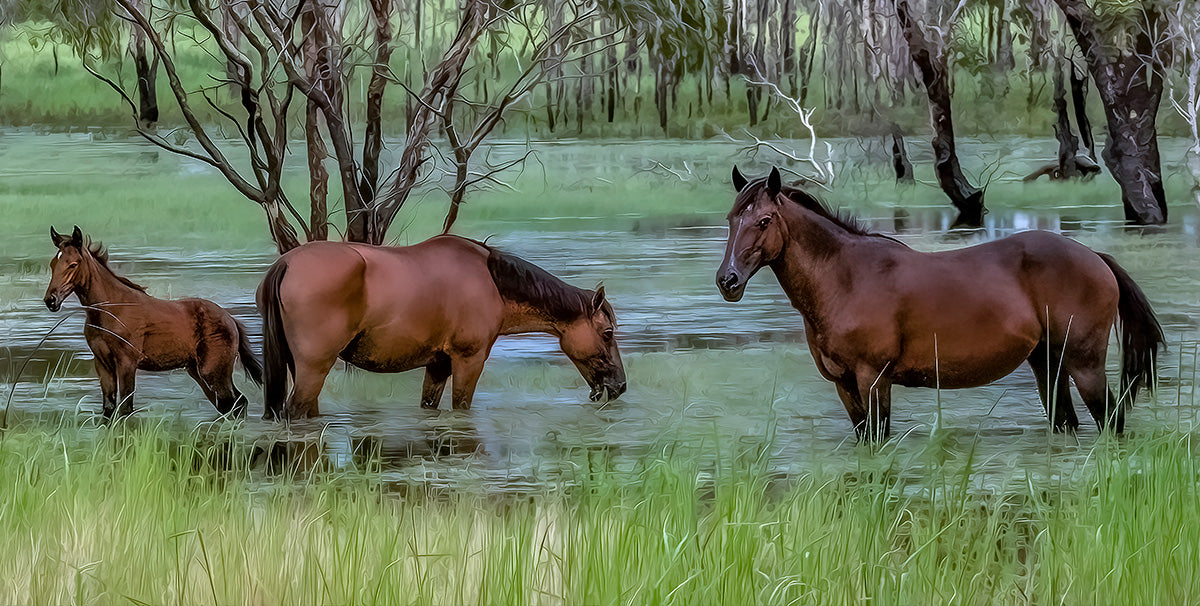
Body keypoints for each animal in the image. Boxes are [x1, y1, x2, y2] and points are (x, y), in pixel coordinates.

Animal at [43, 225, 262, 415]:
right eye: (53, 264)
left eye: (73, 264)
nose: (50, 300)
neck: (111, 310)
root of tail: (231, 319)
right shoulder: (103, 364)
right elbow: (108, 409)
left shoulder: (127, 364)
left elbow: (125, 409)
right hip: (198, 372)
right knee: (231, 405)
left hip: (213, 371)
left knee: (235, 403)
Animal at [255, 234, 628, 417]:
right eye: (607, 333)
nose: (620, 386)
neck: (492, 282)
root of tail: (286, 263)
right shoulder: (468, 361)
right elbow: (461, 405)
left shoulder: (437, 365)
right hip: (314, 368)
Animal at [715, 166, 1156, 439]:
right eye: (732, 219)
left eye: (764, 221)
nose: (727, 280)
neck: (845, 278)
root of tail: (1094, 257)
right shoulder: (844, 385)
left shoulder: (873, 379)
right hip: (1048, 364)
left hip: (1085, 365)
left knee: (1110, 419)